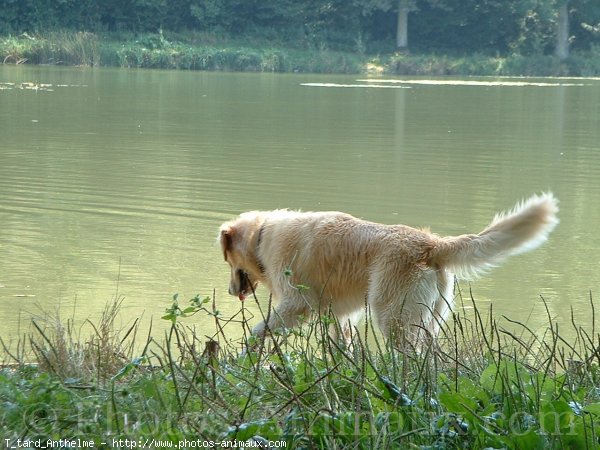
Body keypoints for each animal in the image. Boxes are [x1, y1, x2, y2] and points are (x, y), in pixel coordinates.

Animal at [219, 192, 556, 344]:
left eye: (226, 259)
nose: (230, 290)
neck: (263, 236)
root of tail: (431, 243)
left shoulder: (296, 304)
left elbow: (259, 331)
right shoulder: (339, 316)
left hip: (393, 318)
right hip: (427, 321)